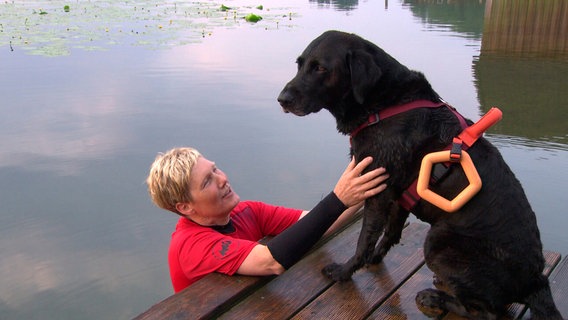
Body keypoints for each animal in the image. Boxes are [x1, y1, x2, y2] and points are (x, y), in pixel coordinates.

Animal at [278, 30, 560, 320]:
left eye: (320, 68)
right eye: (300, 64)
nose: (282, 99)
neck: (382, 105)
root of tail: (537, 280)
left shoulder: (377, 189)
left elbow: (364, 239)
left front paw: (344, 272)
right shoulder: (400, 196)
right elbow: (390, 234)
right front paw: (373, 260)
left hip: (437, 240)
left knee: (488, 312)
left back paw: (435, 297)